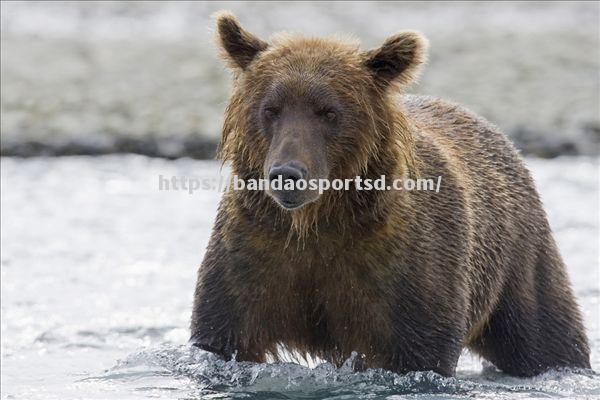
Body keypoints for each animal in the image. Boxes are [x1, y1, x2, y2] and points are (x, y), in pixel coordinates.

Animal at [191, 10, 592, 376]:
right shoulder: (254, 255)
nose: (286, 174)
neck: (316, 221)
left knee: (546, 335)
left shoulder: (405, 272)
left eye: (329, 111)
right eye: (270, 109)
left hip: (519, 261)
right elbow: (223, 333)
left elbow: (420, 349)